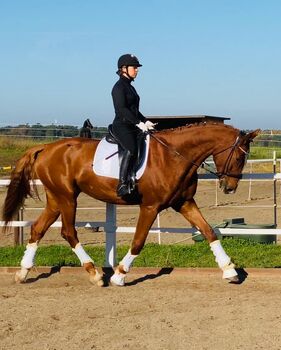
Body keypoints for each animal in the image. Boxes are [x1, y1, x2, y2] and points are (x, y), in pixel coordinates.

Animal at [1, 124, 258, 286]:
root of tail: (45, 147)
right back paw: (95, 274)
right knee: (68, 232)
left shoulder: (184, 202)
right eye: (239, 156)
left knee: (38, 229)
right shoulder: (150, 206)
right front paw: (120, 275)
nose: (229, 187)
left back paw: (23, 273)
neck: (174, 156)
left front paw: (229, 270)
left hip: (56, 198)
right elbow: (138, 240)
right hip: (67, 198)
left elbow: (209, 232)